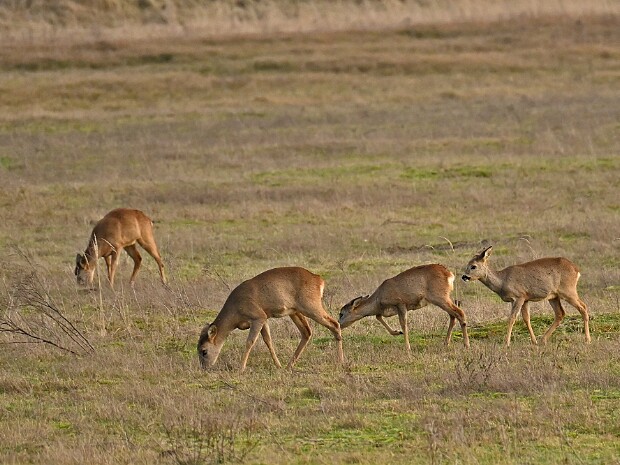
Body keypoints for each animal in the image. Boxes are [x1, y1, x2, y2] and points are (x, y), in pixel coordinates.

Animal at [197, 266, 344, 372]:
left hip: (311, 306)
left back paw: (340, 361)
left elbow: (250, 342)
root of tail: (319, 279)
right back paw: (288, 366)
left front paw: (241, 368)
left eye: (204, 351)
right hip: (295, 311)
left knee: (334, 324)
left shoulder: (258, 317)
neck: (235, 309)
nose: (204, 369)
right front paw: (278, 365)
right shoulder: (264, 319)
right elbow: (268, 341)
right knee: (307, 332)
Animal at [340, 262, 470, 350]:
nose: (339, 325)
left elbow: (403, 324)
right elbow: (378, 317)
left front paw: (407, 347)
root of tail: (449, 274)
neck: (379, 297)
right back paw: (446, 343)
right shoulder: (385, 310)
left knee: (459, 313)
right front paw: (397, 332)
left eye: (341, 313)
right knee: (453, 315)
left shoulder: (401, 304)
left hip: (440, 298)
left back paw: (466, 344)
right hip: (443, 298)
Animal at [460, 246, 592, 344]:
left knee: (583, 307)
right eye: (467, 265)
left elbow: (512, 318)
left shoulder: (519, 296)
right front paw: (534, 341)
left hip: (568, 290)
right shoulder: (526, 299)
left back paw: (587, 339)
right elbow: (526, 318)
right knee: (560, 313)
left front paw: (506, 343)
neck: (502, 281)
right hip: (554, 296)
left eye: (473, 266)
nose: (464, 277)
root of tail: (576, 270)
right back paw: (543, 340)